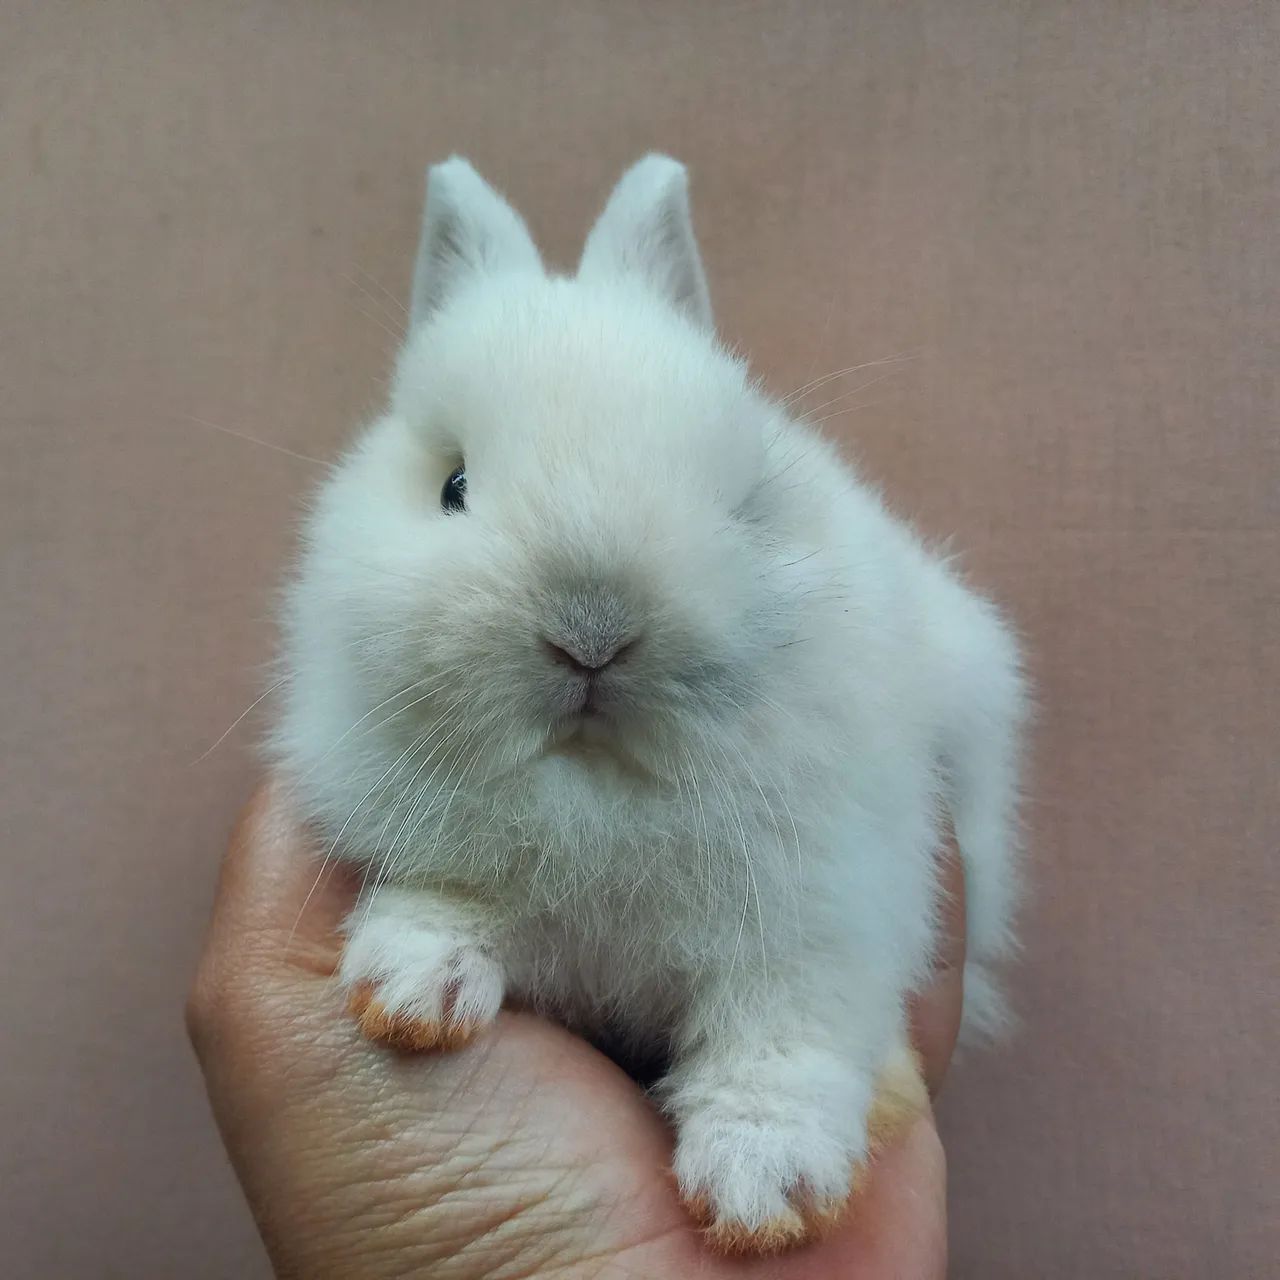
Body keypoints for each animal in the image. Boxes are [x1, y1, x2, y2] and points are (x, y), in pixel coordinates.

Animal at [270, 153, 1027, 1254]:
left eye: (743, 500)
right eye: (452, 486)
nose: (592, 629)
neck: (602, 792)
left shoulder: (828, 921)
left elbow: (785, 1044)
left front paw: (764, 1193)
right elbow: (445, 899)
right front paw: (410, 992)